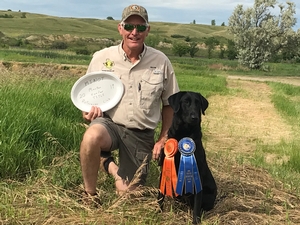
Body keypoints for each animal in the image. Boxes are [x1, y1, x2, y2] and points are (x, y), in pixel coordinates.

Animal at [158, 90, 217, 224]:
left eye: (198, 103)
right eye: (186, 102)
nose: (195, 117)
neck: (184, 133)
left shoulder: (197, 175)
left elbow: (197, 205)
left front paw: (196, 221)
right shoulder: (164, 169)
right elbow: (160, 194)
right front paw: (156, 211)